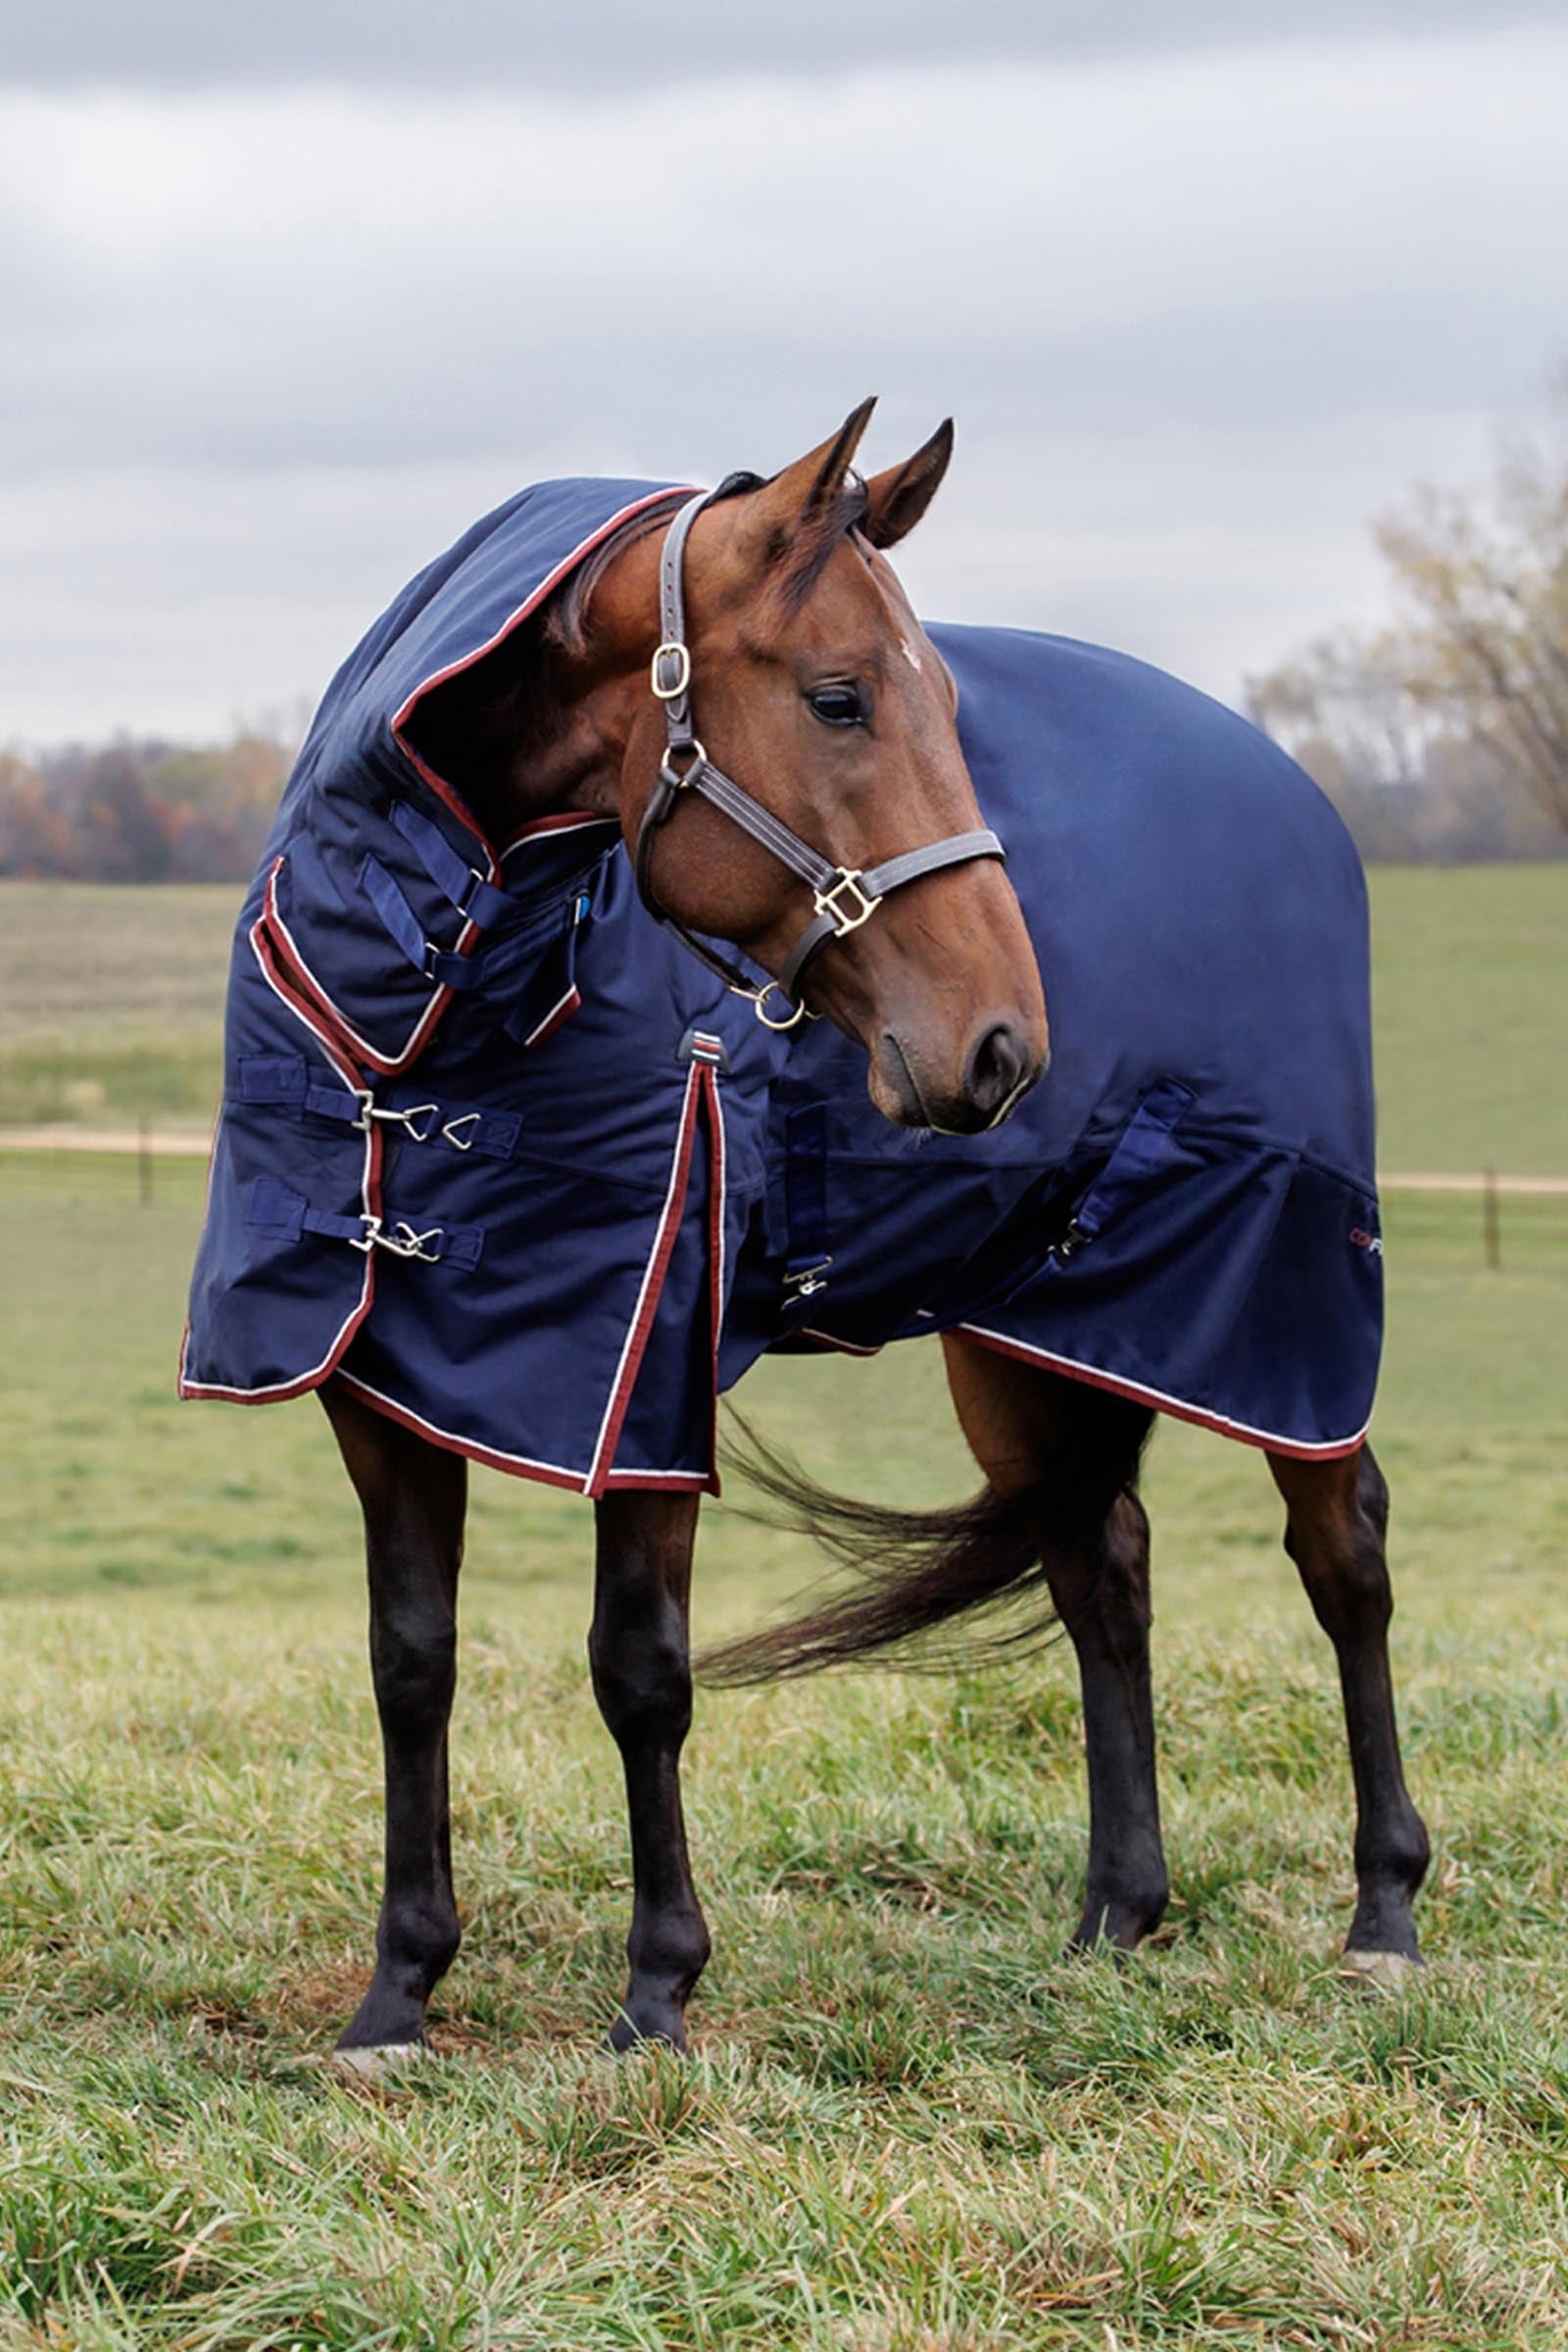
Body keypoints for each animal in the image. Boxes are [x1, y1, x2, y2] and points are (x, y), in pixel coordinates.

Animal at [180, 400, 1429, 2066]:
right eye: (840, 699)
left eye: (947, 702)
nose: (1001, 1045)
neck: (430, 1016)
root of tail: (1292, 793)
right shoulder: (380, 1386)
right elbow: (409, 1662)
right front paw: (398, 1993)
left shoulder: (642, 1379)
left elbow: (639, 1669)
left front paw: (657, 1992)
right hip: (1028, 1329)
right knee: (1103, 1565)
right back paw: (1114, 1920)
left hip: (1282, 1298)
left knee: (1343, 1553)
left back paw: (1385, 1915)